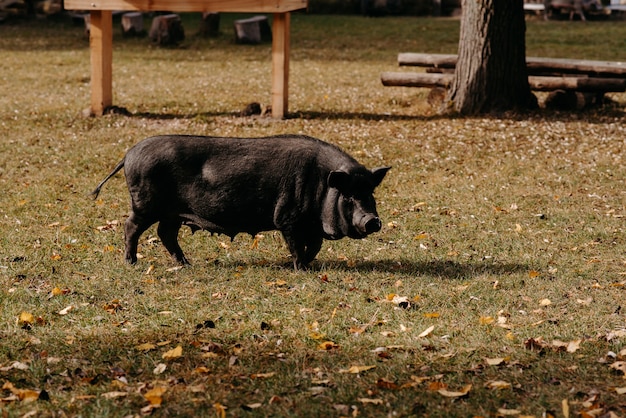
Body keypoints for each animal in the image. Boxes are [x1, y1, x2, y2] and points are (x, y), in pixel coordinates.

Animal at [92, 136, 388, 270]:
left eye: (371, 193)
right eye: (349, 196)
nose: (372, 220)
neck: (321, 184)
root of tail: (129, 154)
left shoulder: (311, 225)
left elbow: (314, 246)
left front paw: (307, 265)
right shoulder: (287, 218)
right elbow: (296, 245)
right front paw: (300, 268)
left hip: (172, 213)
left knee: (165, 234)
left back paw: (186, 263)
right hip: (145, 204)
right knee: (131, 227)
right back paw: (131, 263)